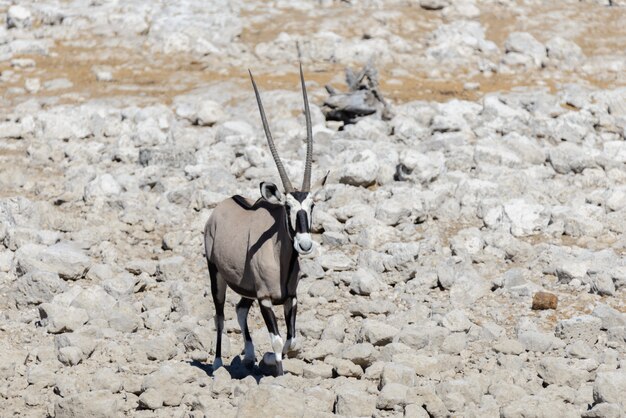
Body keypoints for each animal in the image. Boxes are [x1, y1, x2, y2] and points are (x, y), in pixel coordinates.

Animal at [205, 65, 322, 376]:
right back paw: (218, 363)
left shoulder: (290, 298)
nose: (305, 244)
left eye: (312, 204)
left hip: (245, 287)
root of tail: (222, 206)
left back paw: (248, 354)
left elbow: (291, 339)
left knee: (239, 309)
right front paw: (276, 370)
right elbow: (278, 338)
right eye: (287, 206)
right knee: (220, 315)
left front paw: (268, 358)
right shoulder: (266, 300)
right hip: (216, 275)